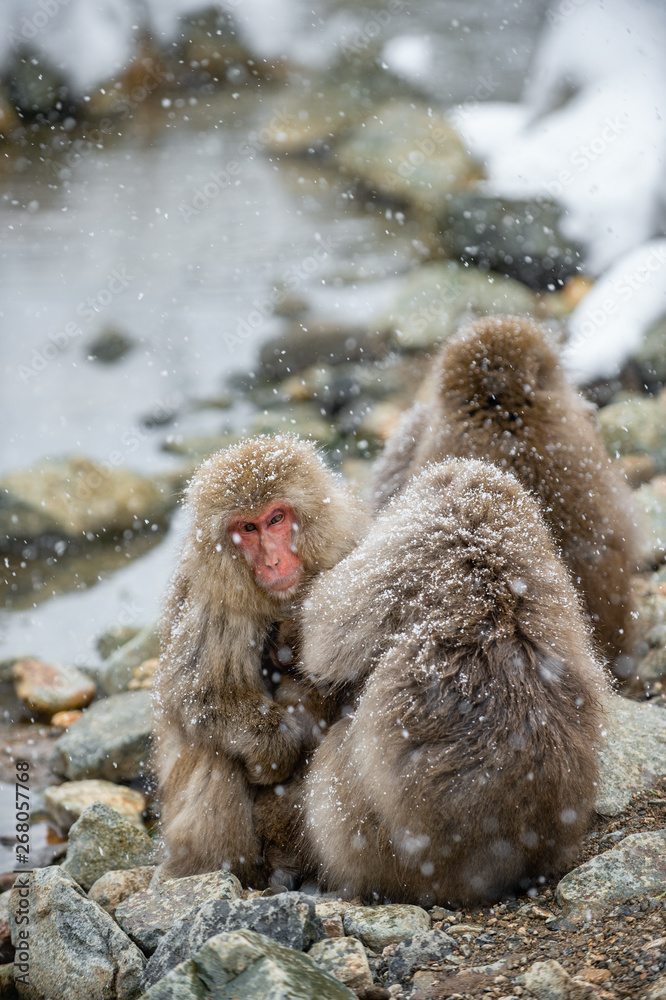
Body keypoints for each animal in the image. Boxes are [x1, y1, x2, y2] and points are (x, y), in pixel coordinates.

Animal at [153, 434, 367, 884]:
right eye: (247, 528)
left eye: (276, 519)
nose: (273, 560)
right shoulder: (213, 601)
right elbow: (198, 697)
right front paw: (275, 751)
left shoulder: (350, 549)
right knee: (217, 754)